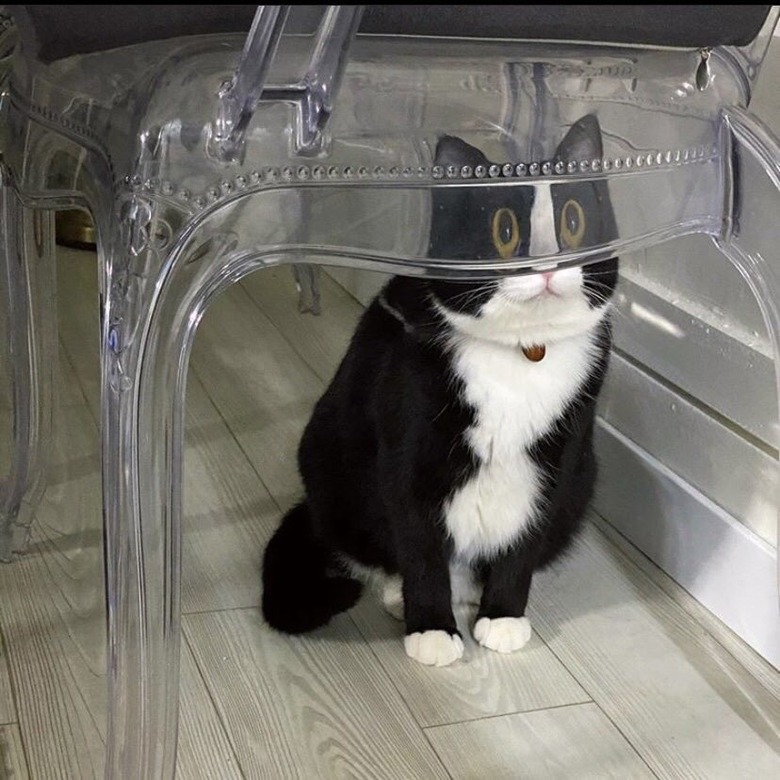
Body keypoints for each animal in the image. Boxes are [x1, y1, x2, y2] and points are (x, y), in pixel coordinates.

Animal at [266, 112, 620, 668]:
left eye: (574, 221)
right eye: (504, 230)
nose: (547, 267)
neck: (522, 354)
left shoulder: (557, 458)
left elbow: (526, 535)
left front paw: (502, 616)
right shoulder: (409, 445)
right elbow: (420, 542)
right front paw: (431, 627)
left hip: (585, 478)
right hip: (327, 459)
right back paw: (400, 595)